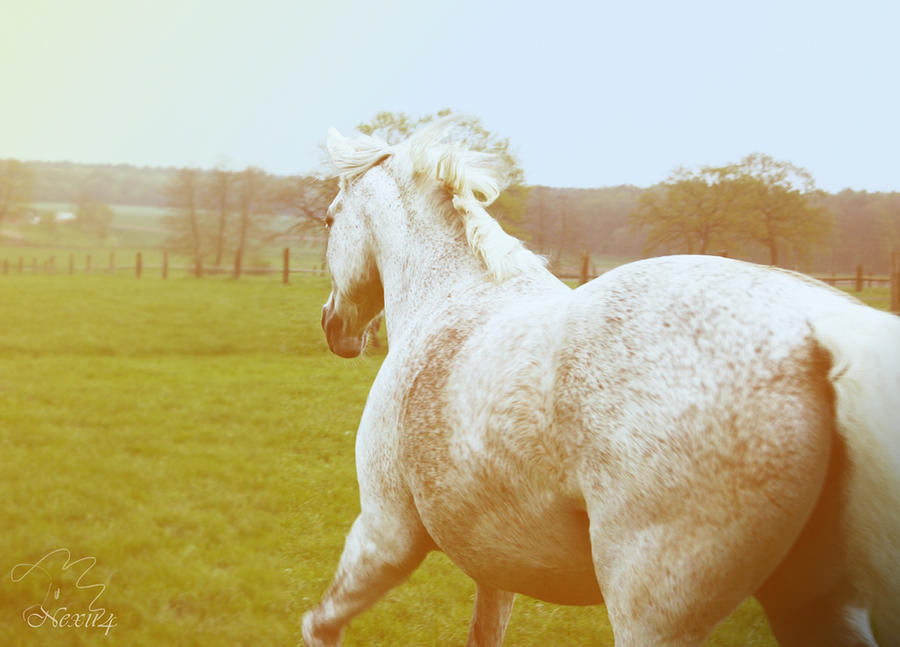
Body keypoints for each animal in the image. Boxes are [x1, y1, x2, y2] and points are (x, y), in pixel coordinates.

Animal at [302, 119, 900, 644]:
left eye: (330, 220)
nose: (335, 327)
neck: (452, 297)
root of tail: (818, 332)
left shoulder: (386, 534)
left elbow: (320, 625)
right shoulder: (495, 565)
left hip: (652, 613)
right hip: (814, 607)